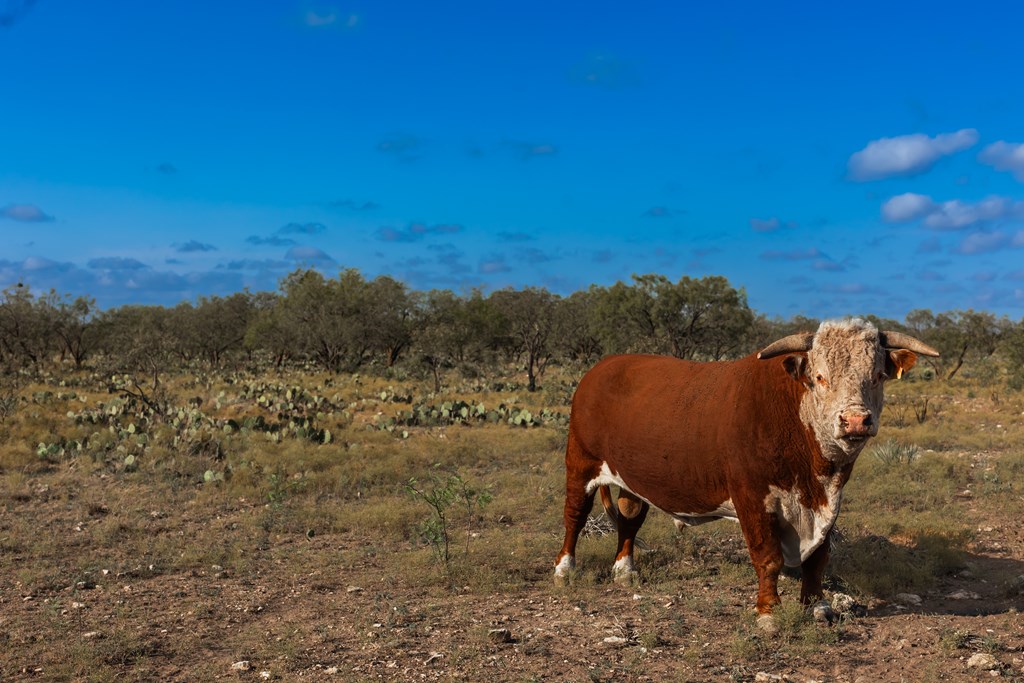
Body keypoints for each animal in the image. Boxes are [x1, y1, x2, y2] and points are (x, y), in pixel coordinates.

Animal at [557, 319, 937, 618]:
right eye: (820, 377)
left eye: (877, 376)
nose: (856, 421)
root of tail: (603, 367)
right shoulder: (752, 497)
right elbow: (767, 557)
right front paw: (768, 613)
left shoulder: (830, 500)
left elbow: (817, 558)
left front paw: (818, 606)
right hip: (580, 463)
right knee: (575, 516)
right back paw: (564, 570)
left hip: (629, 477)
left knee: (629, 518)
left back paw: (625, 570)